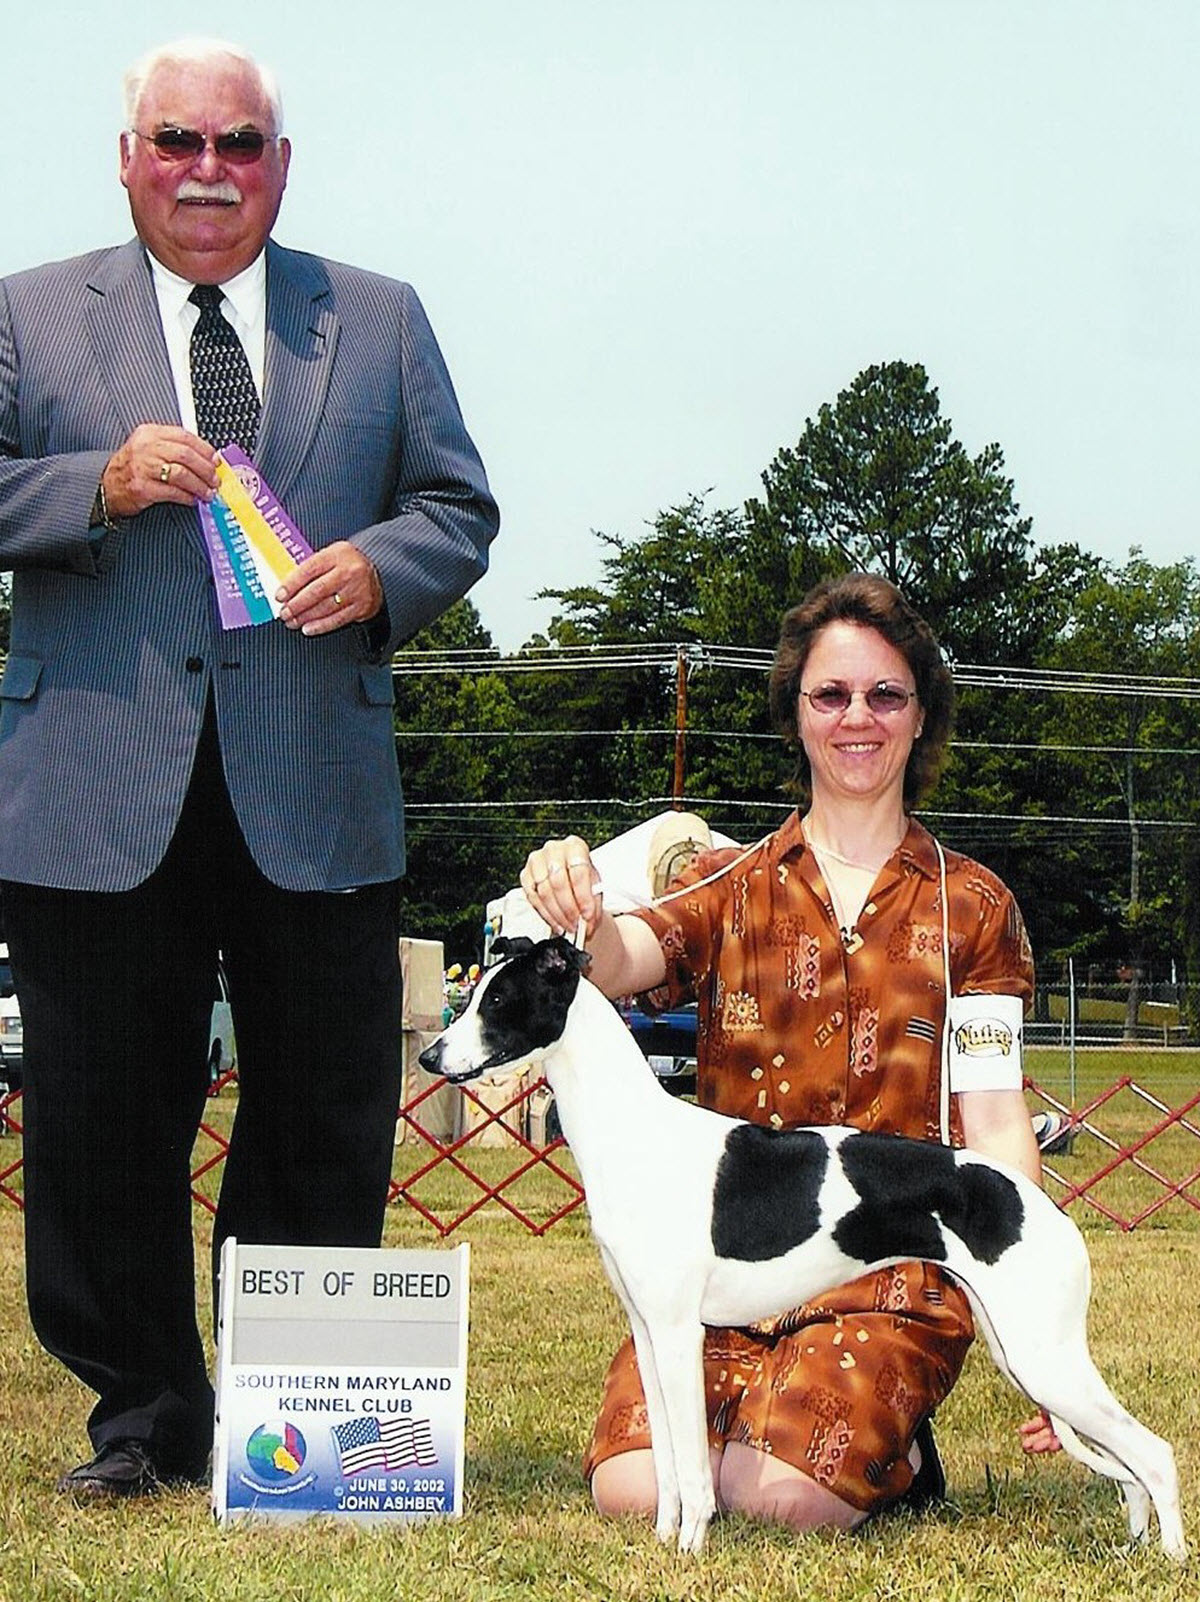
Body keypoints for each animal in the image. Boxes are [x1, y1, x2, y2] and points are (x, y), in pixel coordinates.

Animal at [416, 935, 1185, 1550]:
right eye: (474, 992)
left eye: (498, 1000)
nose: (427, 1055)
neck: (633, 1130)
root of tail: (1044, 1208)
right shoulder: (647, 1329)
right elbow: (664, 1464)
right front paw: (661, 1543)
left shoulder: (678, 1334)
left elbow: (692, 1468)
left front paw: (690, 1550)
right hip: (1024, 1353)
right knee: (1129, 1469)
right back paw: (1135, 1545)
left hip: (1043, 1359)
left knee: (1155, 1454)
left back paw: (1170, 1559)